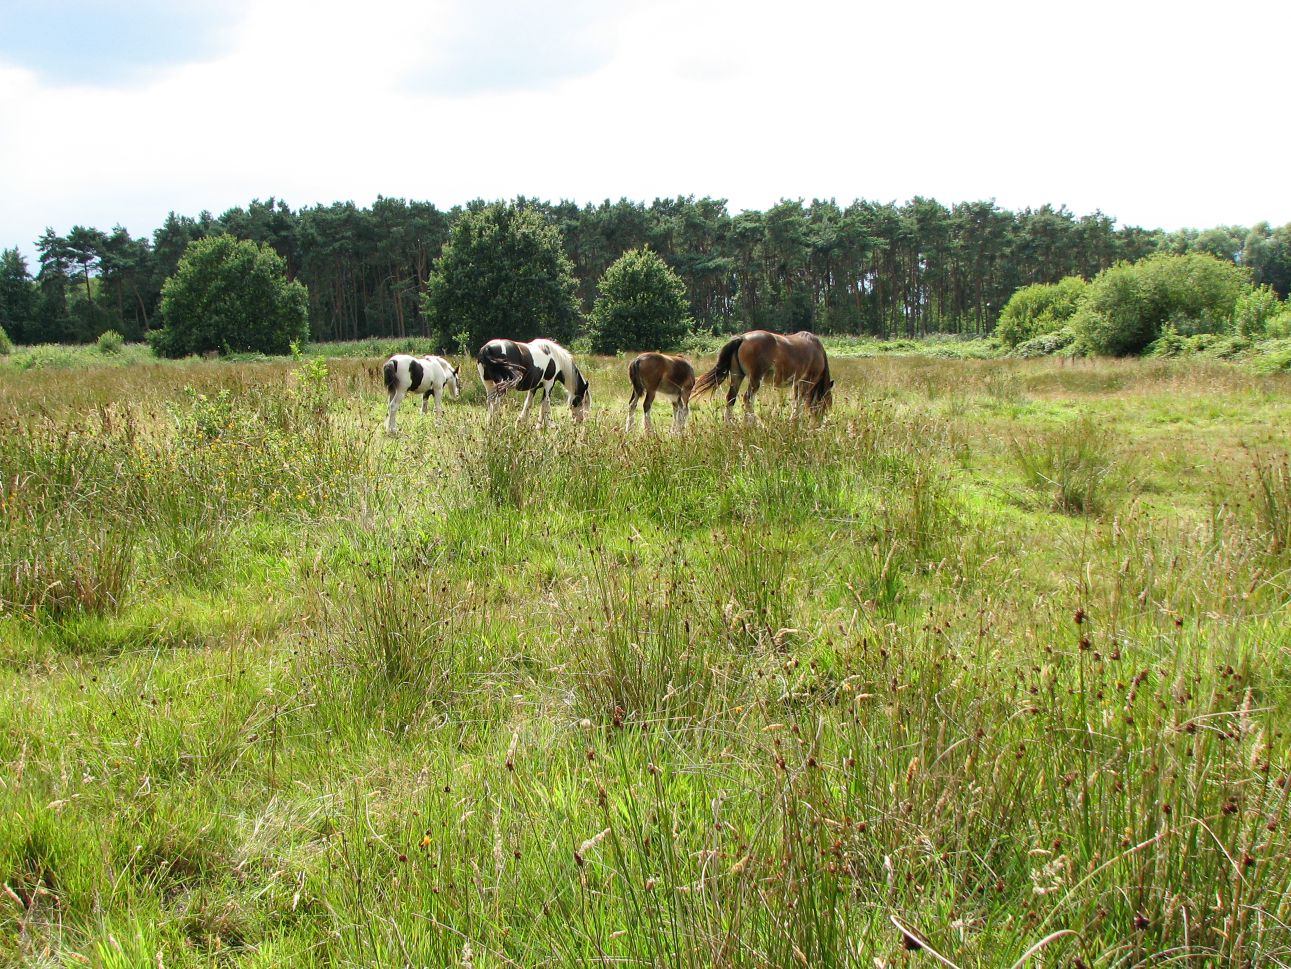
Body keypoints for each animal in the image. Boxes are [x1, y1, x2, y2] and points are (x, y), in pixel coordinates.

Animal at [691, 330, 831, 420]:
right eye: (826, 405)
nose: (818, 423)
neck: (816, 349)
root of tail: (742, 338)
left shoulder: (797, 383)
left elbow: (796, 402)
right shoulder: (807, 382)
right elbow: (800, 403)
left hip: (737, 376)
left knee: (731, 399)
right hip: (755, 379)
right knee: (747, 399)